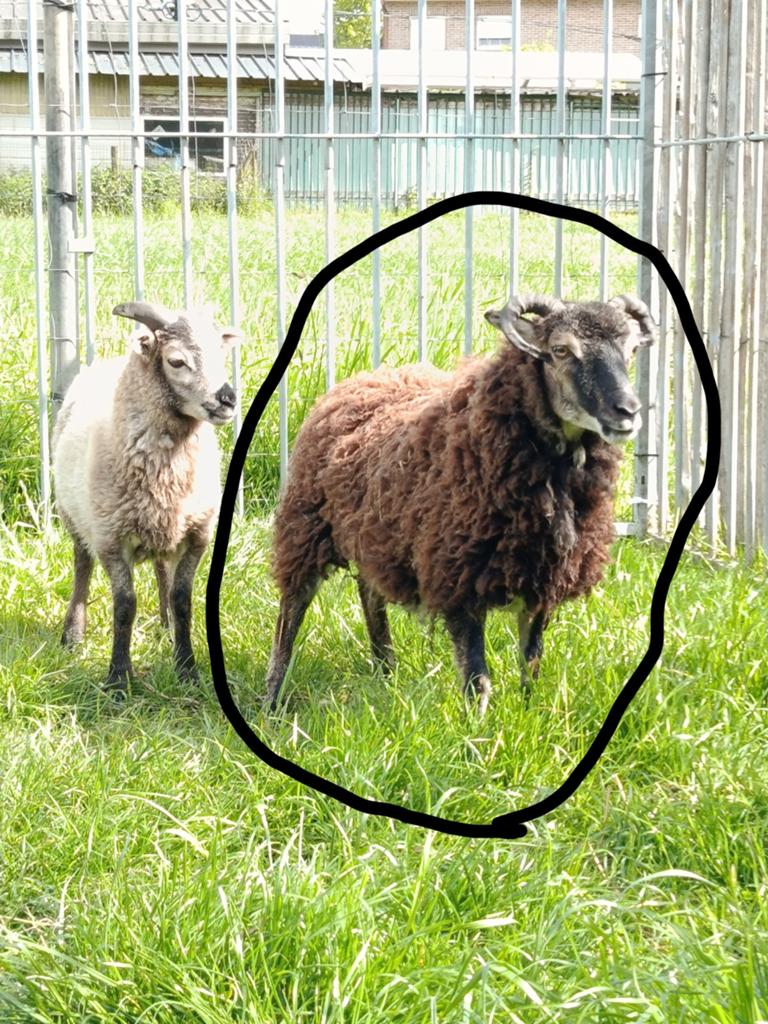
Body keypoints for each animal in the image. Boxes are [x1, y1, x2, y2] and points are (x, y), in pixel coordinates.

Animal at [53, 301, 240, 693]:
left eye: (221, 354)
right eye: (176, 361)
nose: (228, 399)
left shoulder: (197, 534)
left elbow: (183, 600)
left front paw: (186, 669)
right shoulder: (110, 538)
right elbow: (125, 605)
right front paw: (118, 678)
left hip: (163, 526)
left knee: (161, 568)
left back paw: (166, 627)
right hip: (74, 515)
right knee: (82, 566)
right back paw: (72, 634)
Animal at [265, 294, 656, 715]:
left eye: (632, 350)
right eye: (561, 350)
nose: (628, 411)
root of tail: (363, 378)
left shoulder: (544, 578)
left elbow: (531, 664)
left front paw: (527, 713)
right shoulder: (457, 575)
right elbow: (477, 679)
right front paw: (478, 729)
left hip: (377, 536)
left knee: (370, 593)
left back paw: (386, 670)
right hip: (305, 526)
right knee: (291, 612)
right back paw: (272, 699)